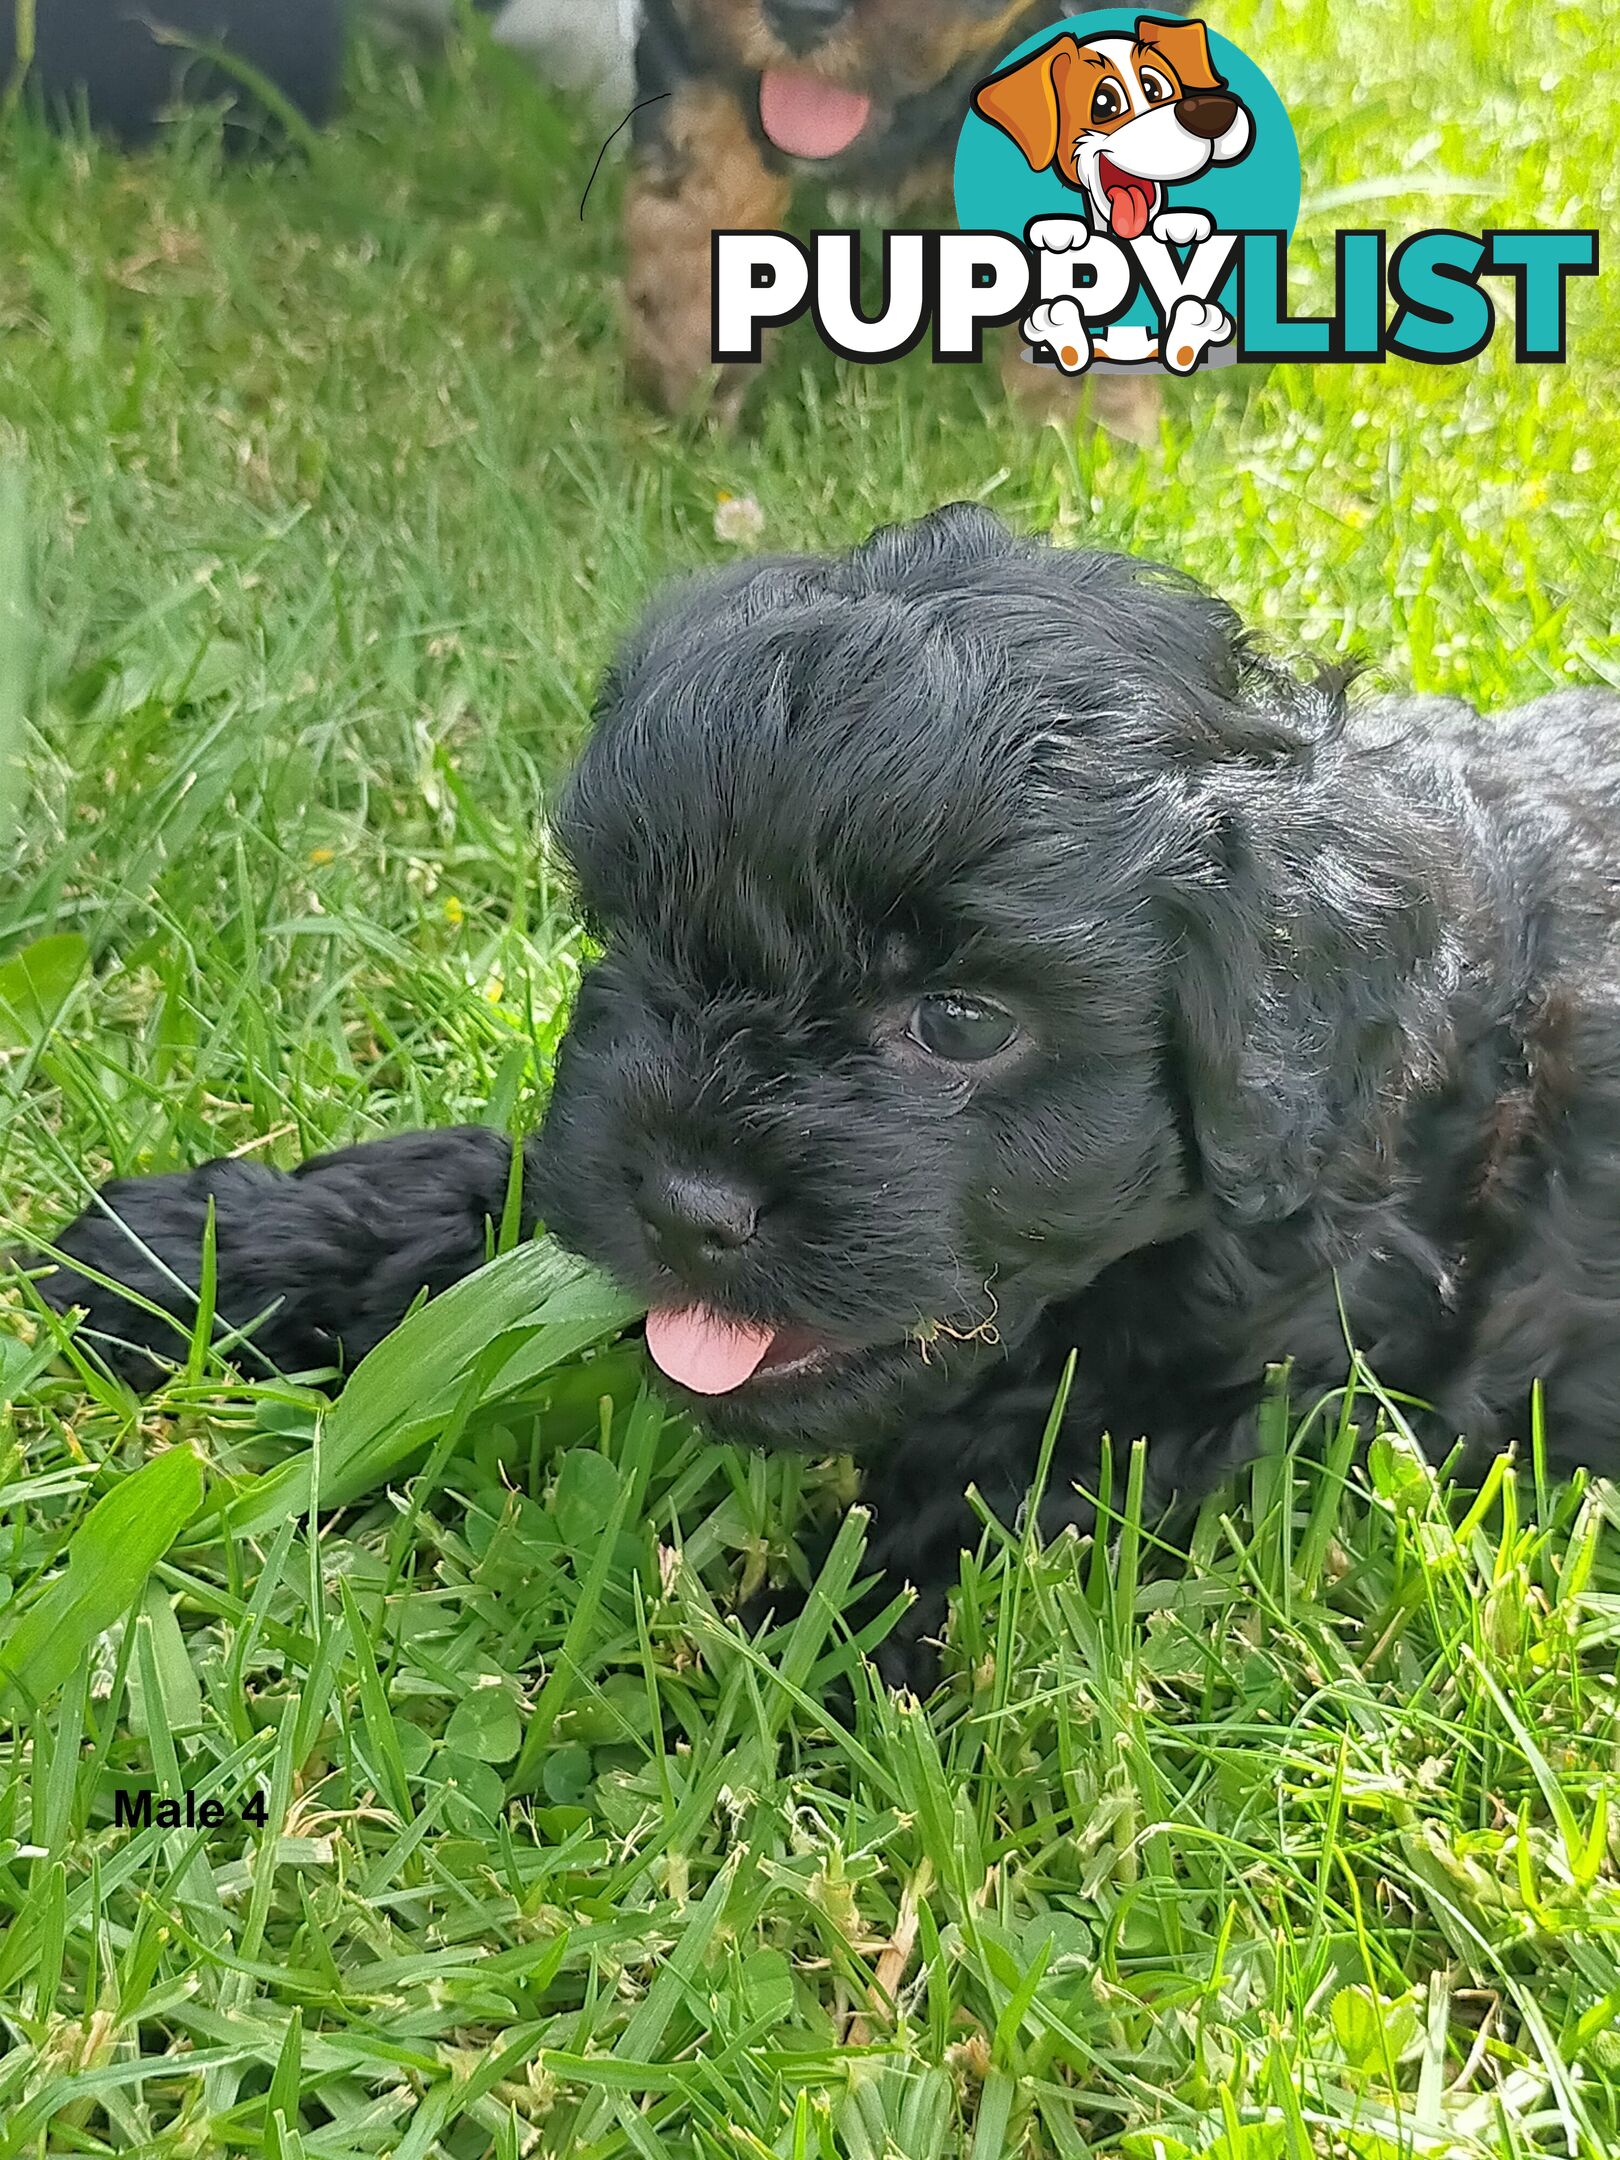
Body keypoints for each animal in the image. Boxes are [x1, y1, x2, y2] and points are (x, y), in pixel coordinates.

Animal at [38, 505, 1620, 1684]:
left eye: (964, 1021)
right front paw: (200, 1252)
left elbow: (1014, 1487)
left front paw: (775, 1674)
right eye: (641, 942)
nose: (688, 1208)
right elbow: (498, 1200)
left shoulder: (1296, 1364)